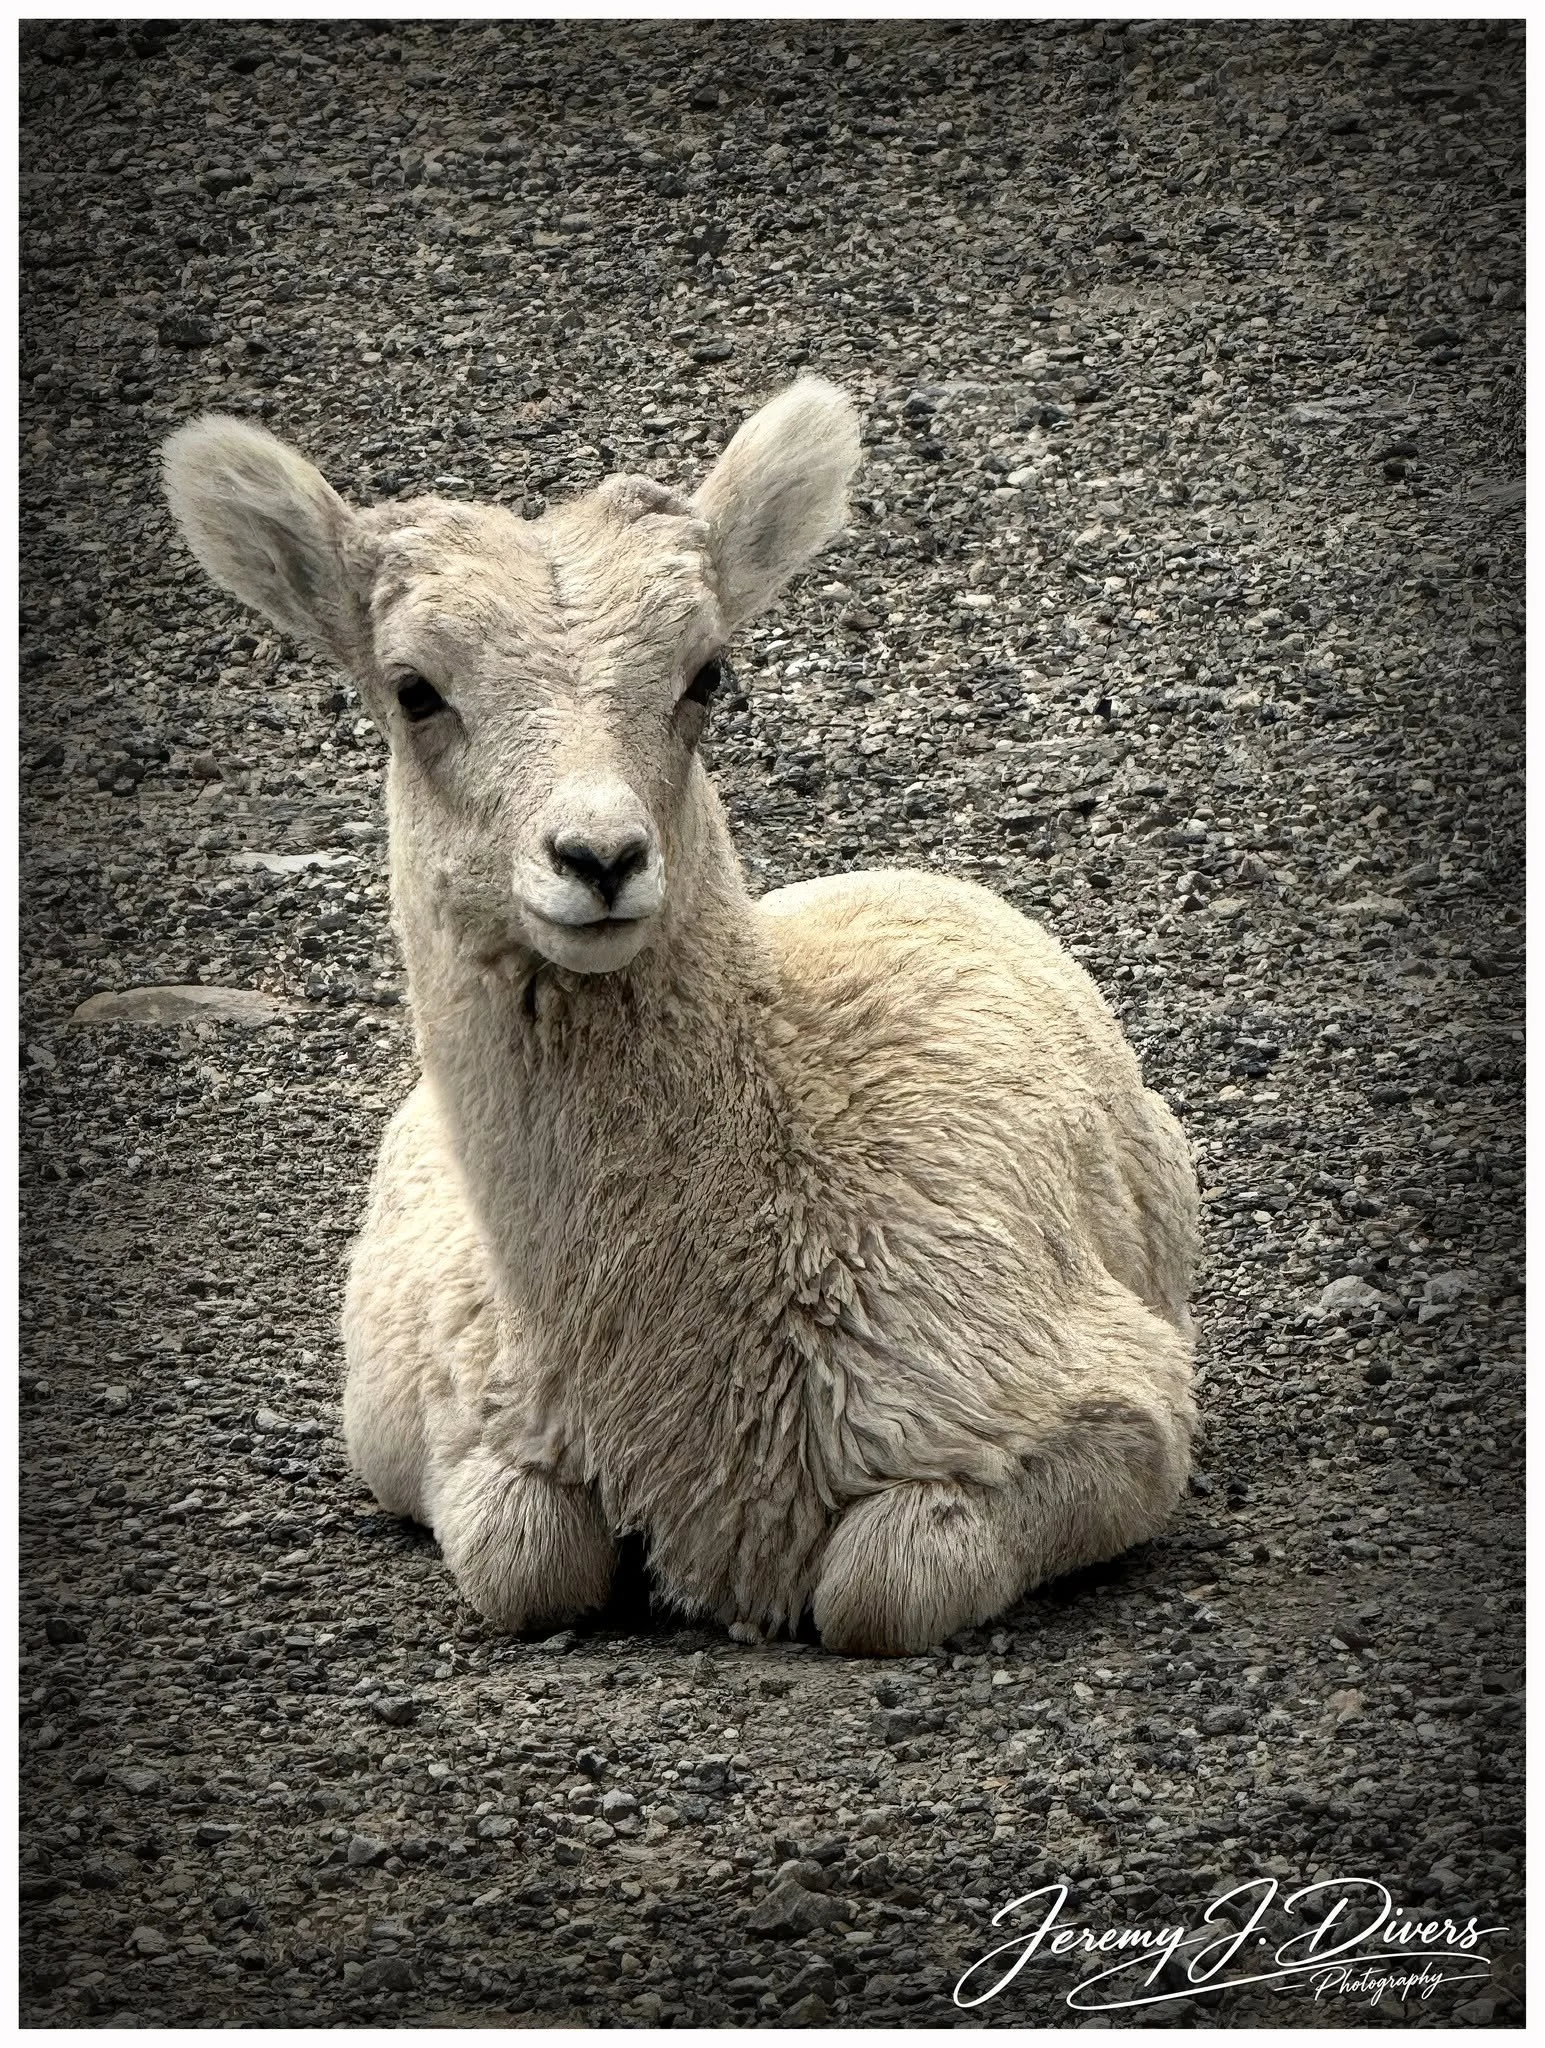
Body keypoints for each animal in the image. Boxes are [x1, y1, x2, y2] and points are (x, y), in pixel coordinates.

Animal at [162, 378, 1198, 1656]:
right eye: (414, 690)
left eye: (706, 673)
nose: (599, 858)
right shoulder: (473, 1430)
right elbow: (525, 1562)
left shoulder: (1118, 1412)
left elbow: (878, 1587)